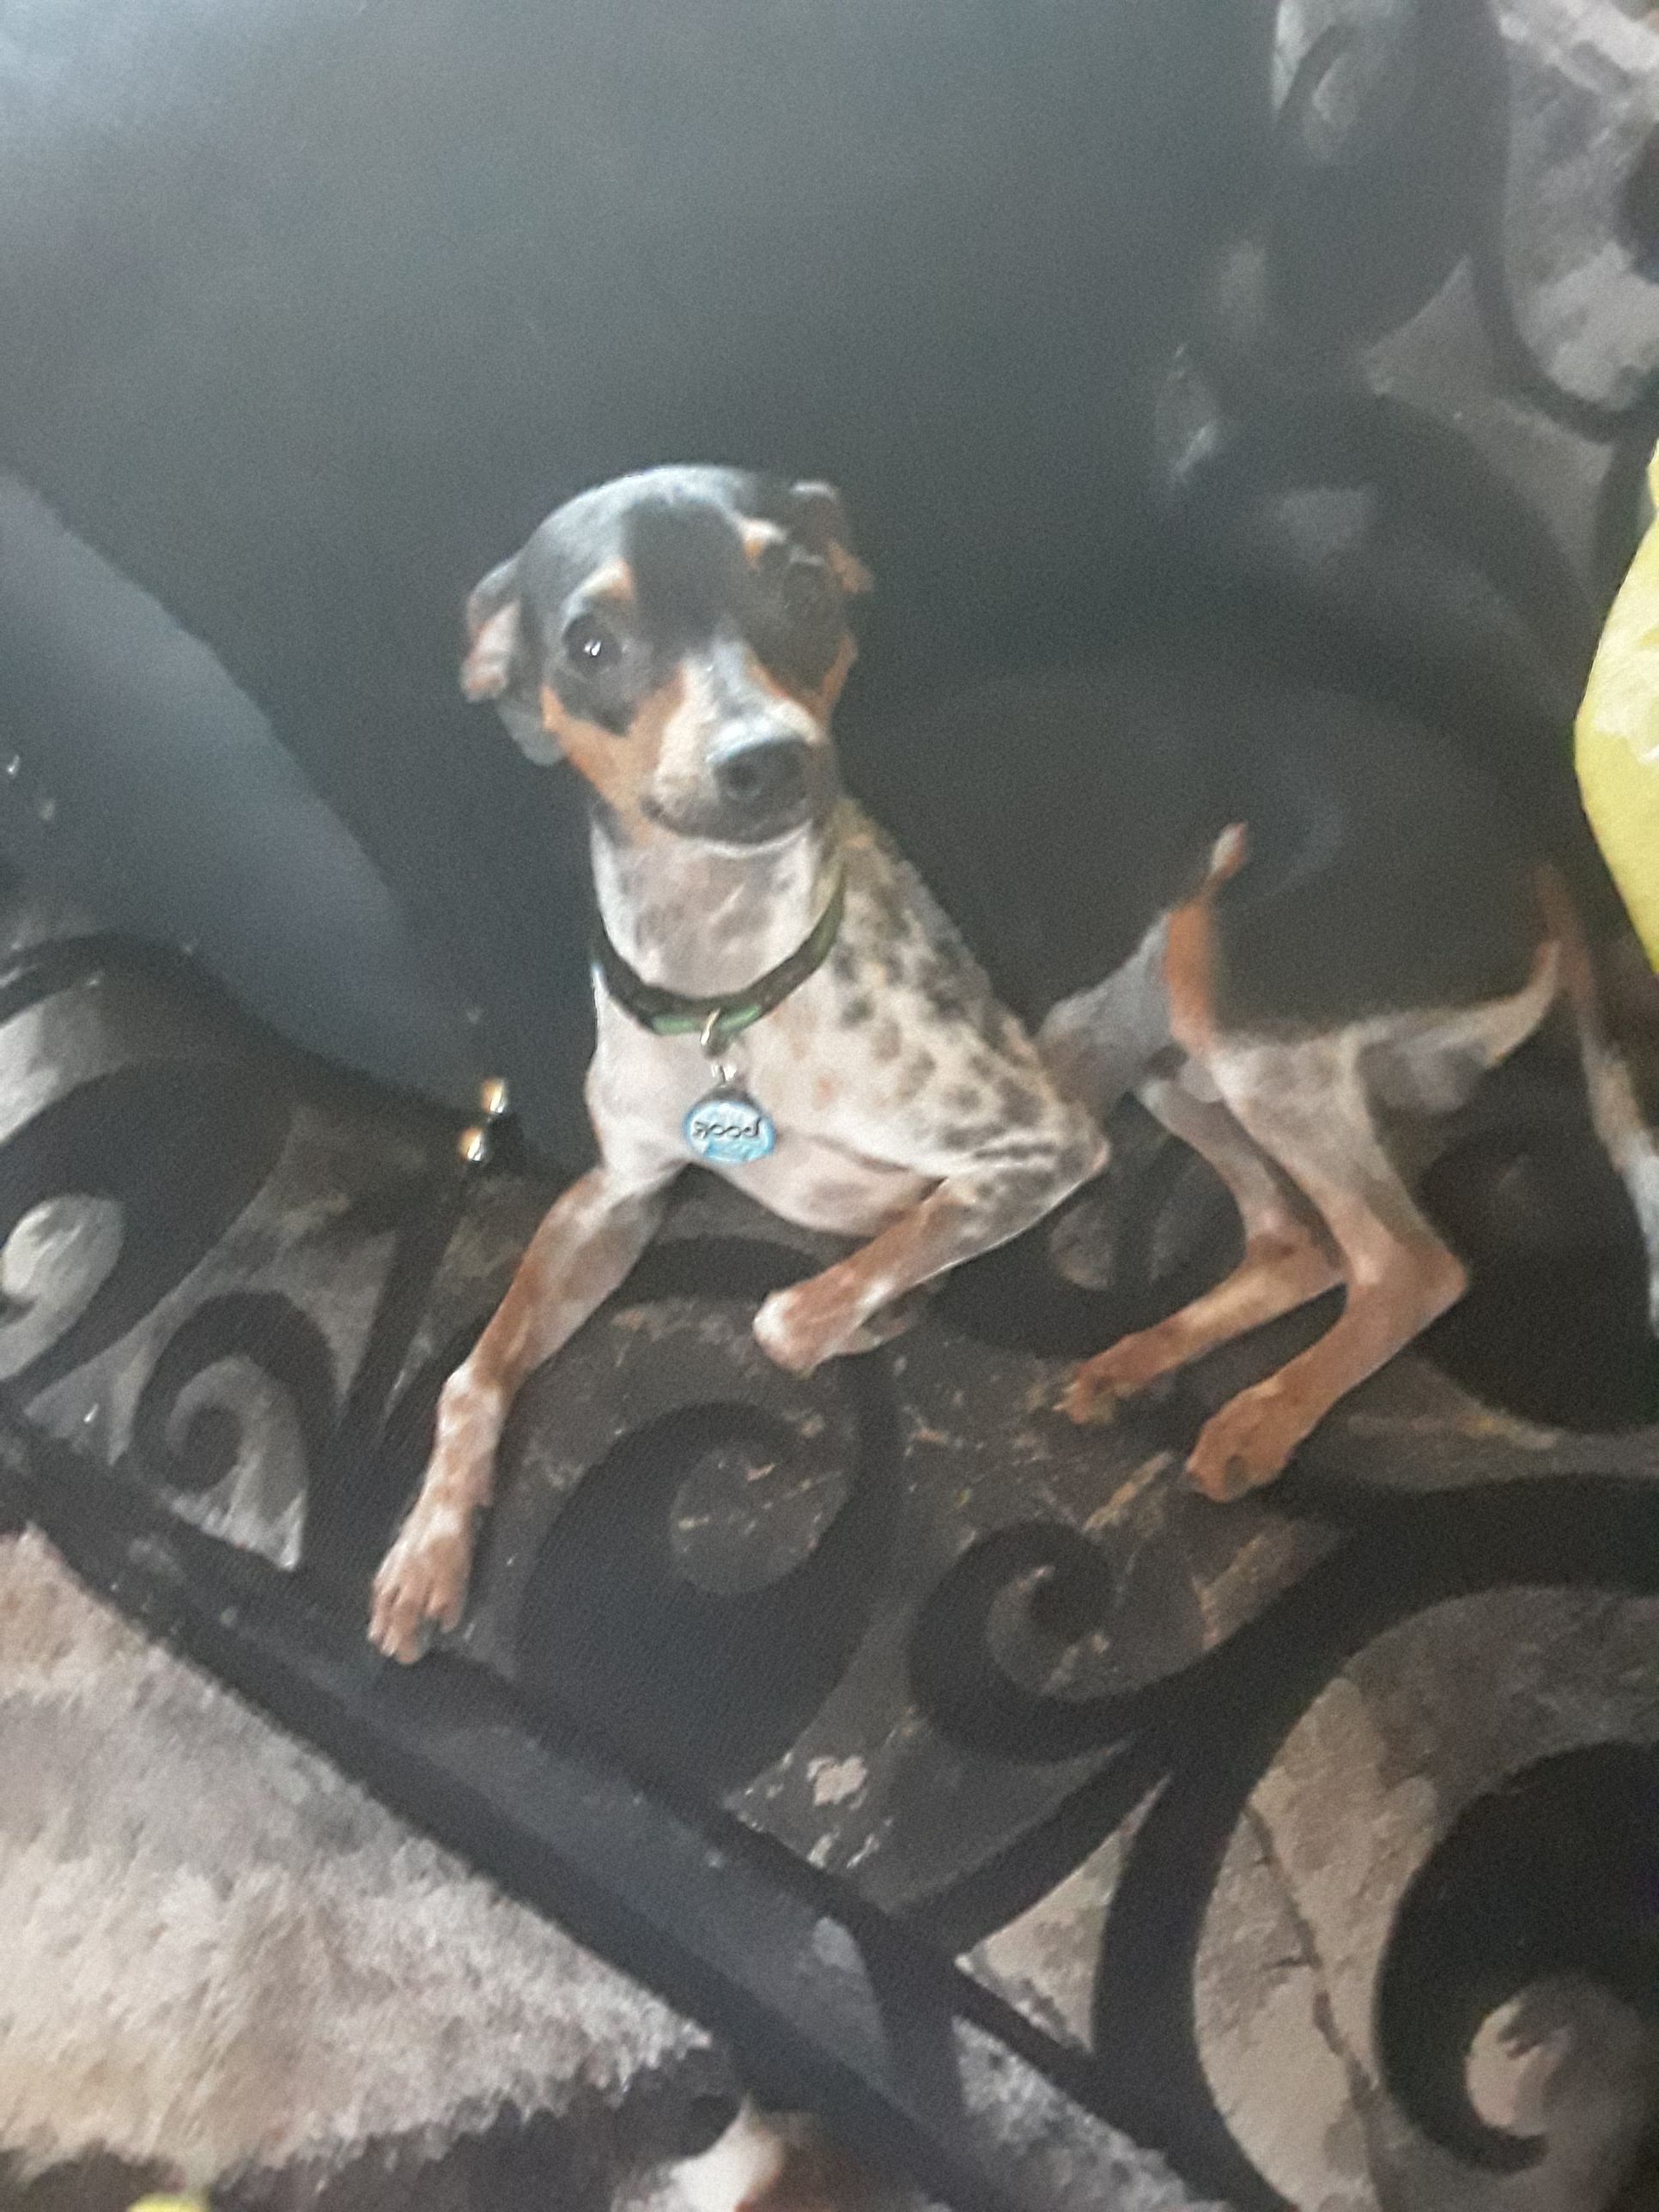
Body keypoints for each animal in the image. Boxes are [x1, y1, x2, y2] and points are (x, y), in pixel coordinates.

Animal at [369, 463, 1659, 1661]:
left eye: (799, 588)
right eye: (591, 642)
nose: (766, 762)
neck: (735, 979)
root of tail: (1540, 849)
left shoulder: (1038, 1146)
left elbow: (795, 1311)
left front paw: (878, 1299)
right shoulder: (616, 1192)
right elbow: (470, 1375)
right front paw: (423, 1553)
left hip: (1229, 982)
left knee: (1405, 1264)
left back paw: (1261, 1416)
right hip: (1171, 1053)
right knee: (1299, 1244)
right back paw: (1140, 1360)